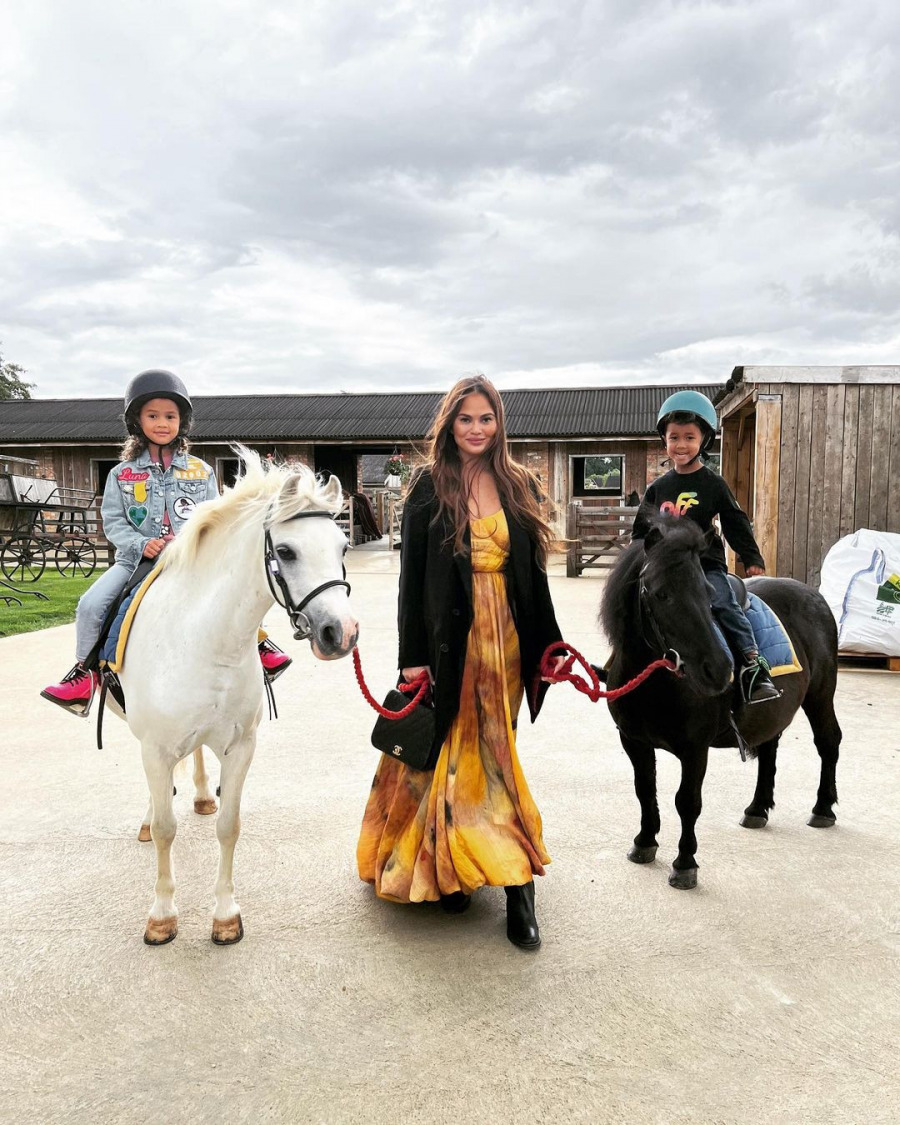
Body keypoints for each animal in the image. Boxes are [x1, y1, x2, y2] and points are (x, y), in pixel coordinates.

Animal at [117, 447, 357, 949]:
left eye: (342, 548)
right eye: (285, 551)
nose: (341, 633)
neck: (208, 641)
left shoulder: (241, 745)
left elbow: (229, 826)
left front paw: (226, 915)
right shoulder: (156, 747)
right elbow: (166, 830)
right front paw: (162, 916)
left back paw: (202, 796)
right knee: (156, 799)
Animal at [603, 515, 841, 886]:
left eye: (708, 593)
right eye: (661, 593)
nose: (718, 668)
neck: (657, 684)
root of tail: (812, 594)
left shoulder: (695, 748)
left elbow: (687, 801)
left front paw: (685, 862)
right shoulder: (633, 741)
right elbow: (644, 789)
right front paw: (644, 842)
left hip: (820, 695)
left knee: (828, 741)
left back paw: (823, 808)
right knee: (770, 747)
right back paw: (757, 808)